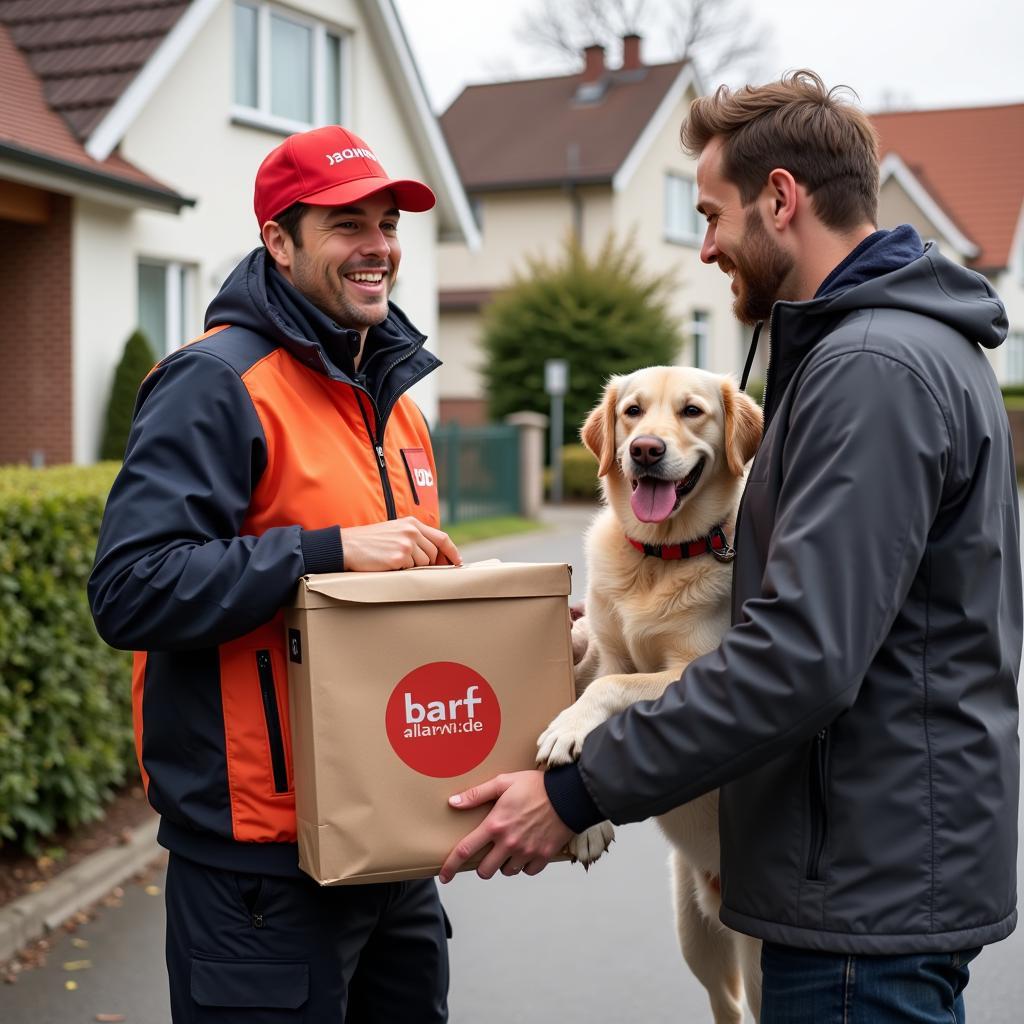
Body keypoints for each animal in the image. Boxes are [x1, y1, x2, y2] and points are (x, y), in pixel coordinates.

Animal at [540, 366, 765, 1024]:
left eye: (692, 411)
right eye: (633, 412)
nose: (644, 450)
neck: (661, 555)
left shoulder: (694, 669)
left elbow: (612, 689)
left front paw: (567, 735)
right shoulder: (606, 649)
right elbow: (591, 677)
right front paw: (584, 825)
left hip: (755, 958)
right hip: (695, 933)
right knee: (725, 1004)